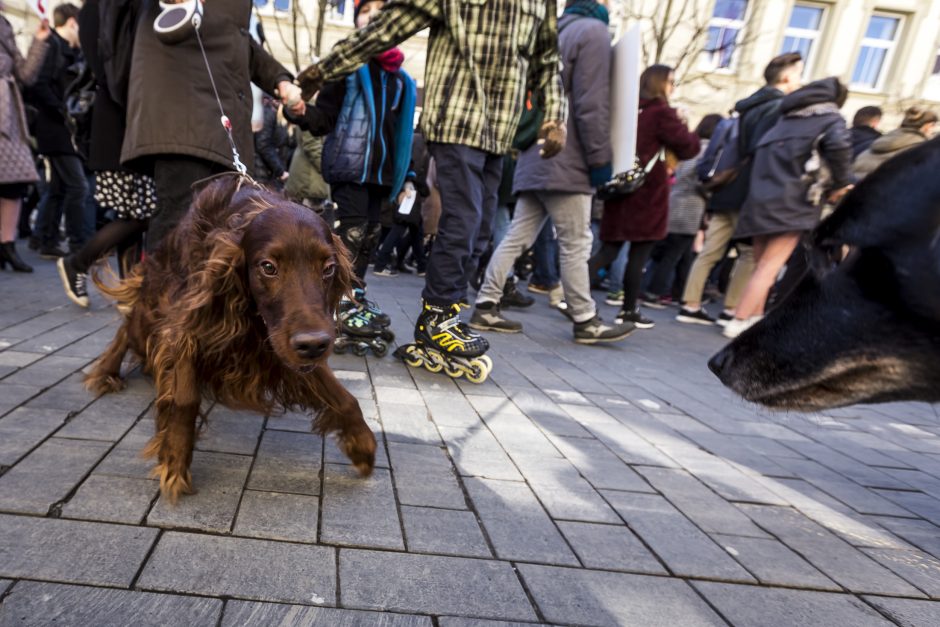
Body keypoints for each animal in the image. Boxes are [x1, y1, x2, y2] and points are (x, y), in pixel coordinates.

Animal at [86, 175, 376, 506]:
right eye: (268, 267)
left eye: (328, 268)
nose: (314, 344)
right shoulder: (186, 323)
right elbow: (185, 397)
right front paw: (174, 458)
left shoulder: (283, 344)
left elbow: (345, 397)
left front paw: (362, 445)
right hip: (151, 310)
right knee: (127, 328)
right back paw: (107, 373)